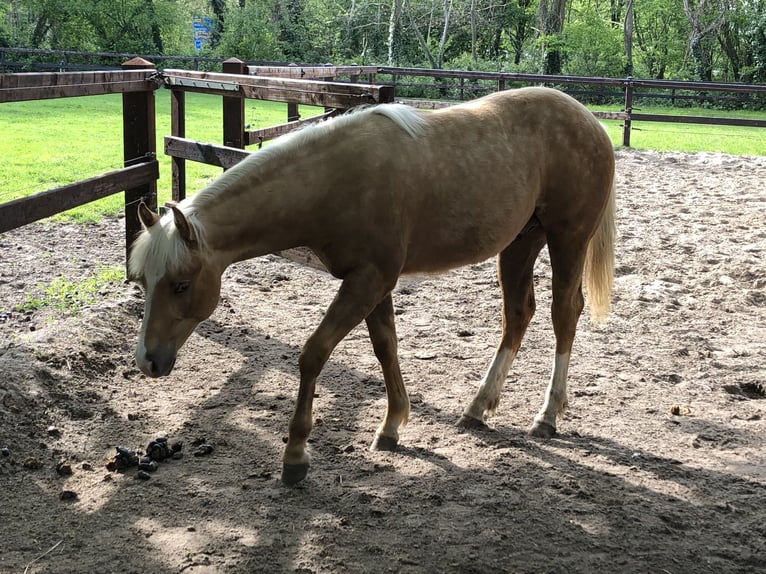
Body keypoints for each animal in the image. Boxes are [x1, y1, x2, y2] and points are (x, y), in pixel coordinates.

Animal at [128, 86, 616, 486]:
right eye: (143, 281)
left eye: (181, 284)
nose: (148, 362)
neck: (333, 182)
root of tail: (590, 121)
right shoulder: (373, 283)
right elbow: (386, 347)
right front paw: (392, 426)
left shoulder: (369, 279)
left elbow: (314, 353)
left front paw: (295, 455)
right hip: (520, 243)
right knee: (518, 315)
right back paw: (478, 407)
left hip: (568, 239)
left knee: (563, 314)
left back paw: (547, 416)